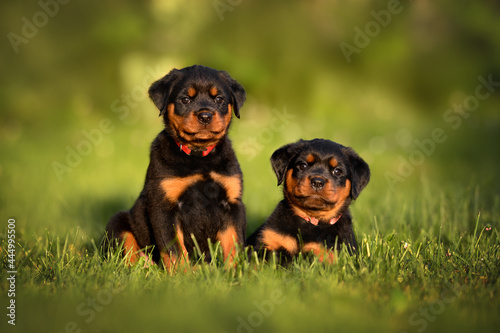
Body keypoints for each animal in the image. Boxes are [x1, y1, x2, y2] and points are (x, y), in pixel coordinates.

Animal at [105, 65, 246, 270]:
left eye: (219, 99)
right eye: (185, 99)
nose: (205, 116)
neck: (198, 156)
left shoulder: (232, 204)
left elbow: (234, 244)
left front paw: (235, 272)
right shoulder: (164, 207)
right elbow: (175, 250)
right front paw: (182, 274)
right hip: (119, 221)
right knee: (128, 249)